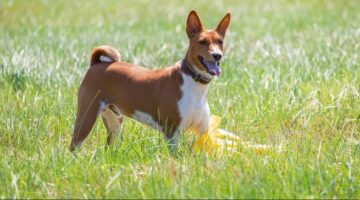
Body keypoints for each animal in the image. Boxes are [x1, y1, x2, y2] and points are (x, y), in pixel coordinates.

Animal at [70, 9, 231, 152]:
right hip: (87, 117)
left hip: (115, 122)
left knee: (109, 147)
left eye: (220, 42)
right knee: (74, 146)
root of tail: (96, 64)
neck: (195, 84)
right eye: (202, 42)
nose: (217, 55)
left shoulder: (203, 132)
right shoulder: (172, 132)